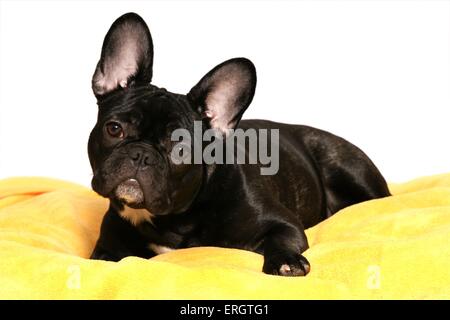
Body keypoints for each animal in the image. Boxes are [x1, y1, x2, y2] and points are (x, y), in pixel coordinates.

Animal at [89, 13, 390, 276]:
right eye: (114, 129)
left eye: (181, 149)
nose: (141, 154)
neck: (170, 220)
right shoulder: (106, 248)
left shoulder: (284, 224)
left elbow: (281, 239)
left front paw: (287, 261)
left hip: (348, 167)